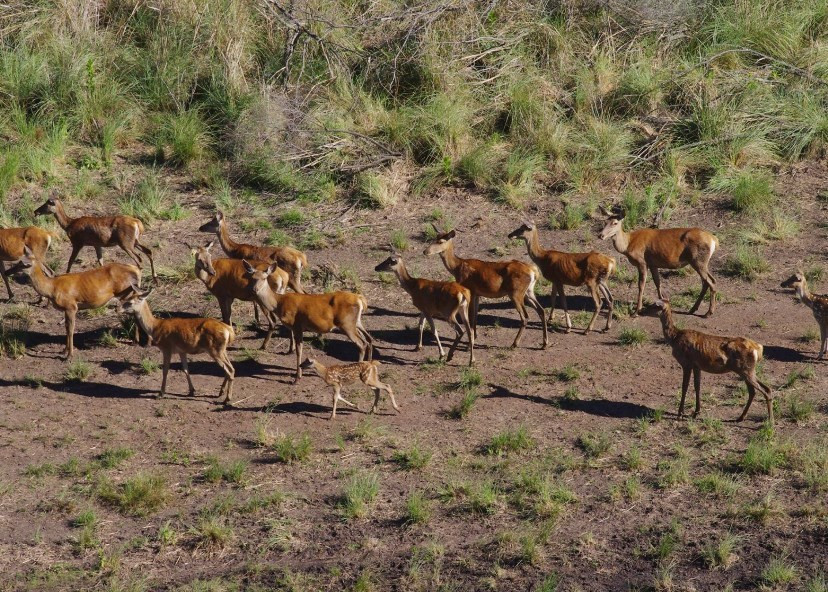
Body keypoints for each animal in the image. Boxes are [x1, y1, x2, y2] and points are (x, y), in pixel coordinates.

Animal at [10, 245, 141, 356]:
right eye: (18, 261)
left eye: (22, 264)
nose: (7, 272)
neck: (52, 289)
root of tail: (137, 271)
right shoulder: (66, 308)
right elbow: (66, 328)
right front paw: (64, 351)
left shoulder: (71, 306)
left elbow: (71, 329)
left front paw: (69, 355)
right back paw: (136, 340)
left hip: (127, 293)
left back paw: (135, 340)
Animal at [241, 260, 374, 382]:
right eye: (251, 278)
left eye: (264, 278)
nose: (254, 289)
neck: (278, 304)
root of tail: (360, 299)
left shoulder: (297, 325)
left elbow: (299, 351)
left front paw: (297, 377)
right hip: (356, 322)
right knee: (368, 339)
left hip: (346, 323)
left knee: (361, 343)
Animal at [644, 300, 772, 426]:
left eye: (654, 305)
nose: (641, 310)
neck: (674, 338)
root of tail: (758, 349)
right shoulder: (697, 366)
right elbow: (697, 386)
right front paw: (696, 412)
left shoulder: (686, 363)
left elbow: (685, 387)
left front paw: (680, 414)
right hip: (747, 370)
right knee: (760, 390)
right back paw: (740, 418)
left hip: (745, 370)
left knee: (764, 391)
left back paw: (770, 421)